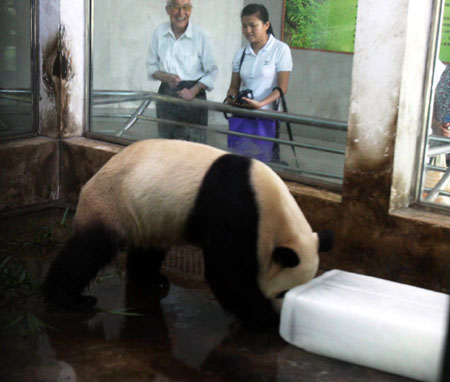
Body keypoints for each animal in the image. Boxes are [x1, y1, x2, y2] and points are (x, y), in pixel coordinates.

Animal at [42, 139, 332, 326]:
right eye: (283, 293)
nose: (285, 312)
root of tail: (89, 182)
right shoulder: (236, 209)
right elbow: (226, 269)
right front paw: (263, 316)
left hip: (148, 216)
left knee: (148, 250)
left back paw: (150, 281)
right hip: (112, 204)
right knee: (89, 251)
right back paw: (67, 298)